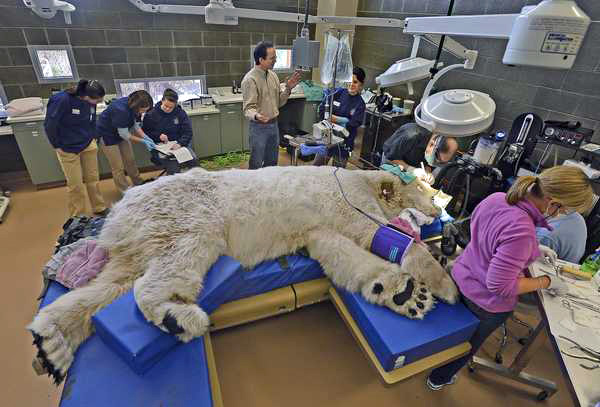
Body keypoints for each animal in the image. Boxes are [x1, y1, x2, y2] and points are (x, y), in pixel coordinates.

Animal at [29, 166, 460, 382]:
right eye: (428, 189)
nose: (442, 208)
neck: (364, 179)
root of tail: (119, 209)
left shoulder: (318, 228)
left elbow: (339, 253)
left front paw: (406, 294)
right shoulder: (348, 200)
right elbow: (377, 235)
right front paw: (443, 285)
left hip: (137, 240)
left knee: (109, 285)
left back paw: (51, 345)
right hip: (186, 216)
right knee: (168, 265)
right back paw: (177, 317)